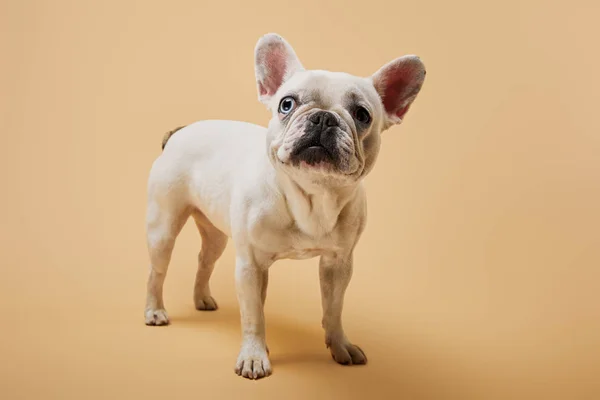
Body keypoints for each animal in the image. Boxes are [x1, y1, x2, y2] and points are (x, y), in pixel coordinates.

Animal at [143, 33, 424, 378]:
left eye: (362, 115)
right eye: (286, 104)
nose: (323, 117)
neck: (312, 195)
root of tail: (181, 131)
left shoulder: (338, 264)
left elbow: (334, 308)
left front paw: (340, 345)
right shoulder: (250, 265)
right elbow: (253, 315)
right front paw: (254, 356)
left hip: (216, 234)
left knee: (204, 260)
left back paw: (203, 299)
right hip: (163, 227)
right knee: (157, 271)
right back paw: (155, 311)